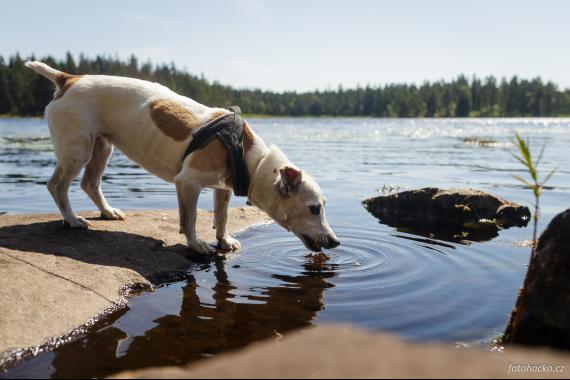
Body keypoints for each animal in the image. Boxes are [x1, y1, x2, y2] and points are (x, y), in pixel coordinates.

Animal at [25, 60, 338, 254]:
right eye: (314, 209)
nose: (336, 242)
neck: (251, 157)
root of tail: (68, 79)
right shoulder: (187, 183)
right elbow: (189, 219)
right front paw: (197, 245)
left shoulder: (222, 189)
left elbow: (222, 217)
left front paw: (224, 241)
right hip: (77, 150)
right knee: (57, 186)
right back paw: (71, 219)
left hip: (102, 148)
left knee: (89, 184)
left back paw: (108, 212)